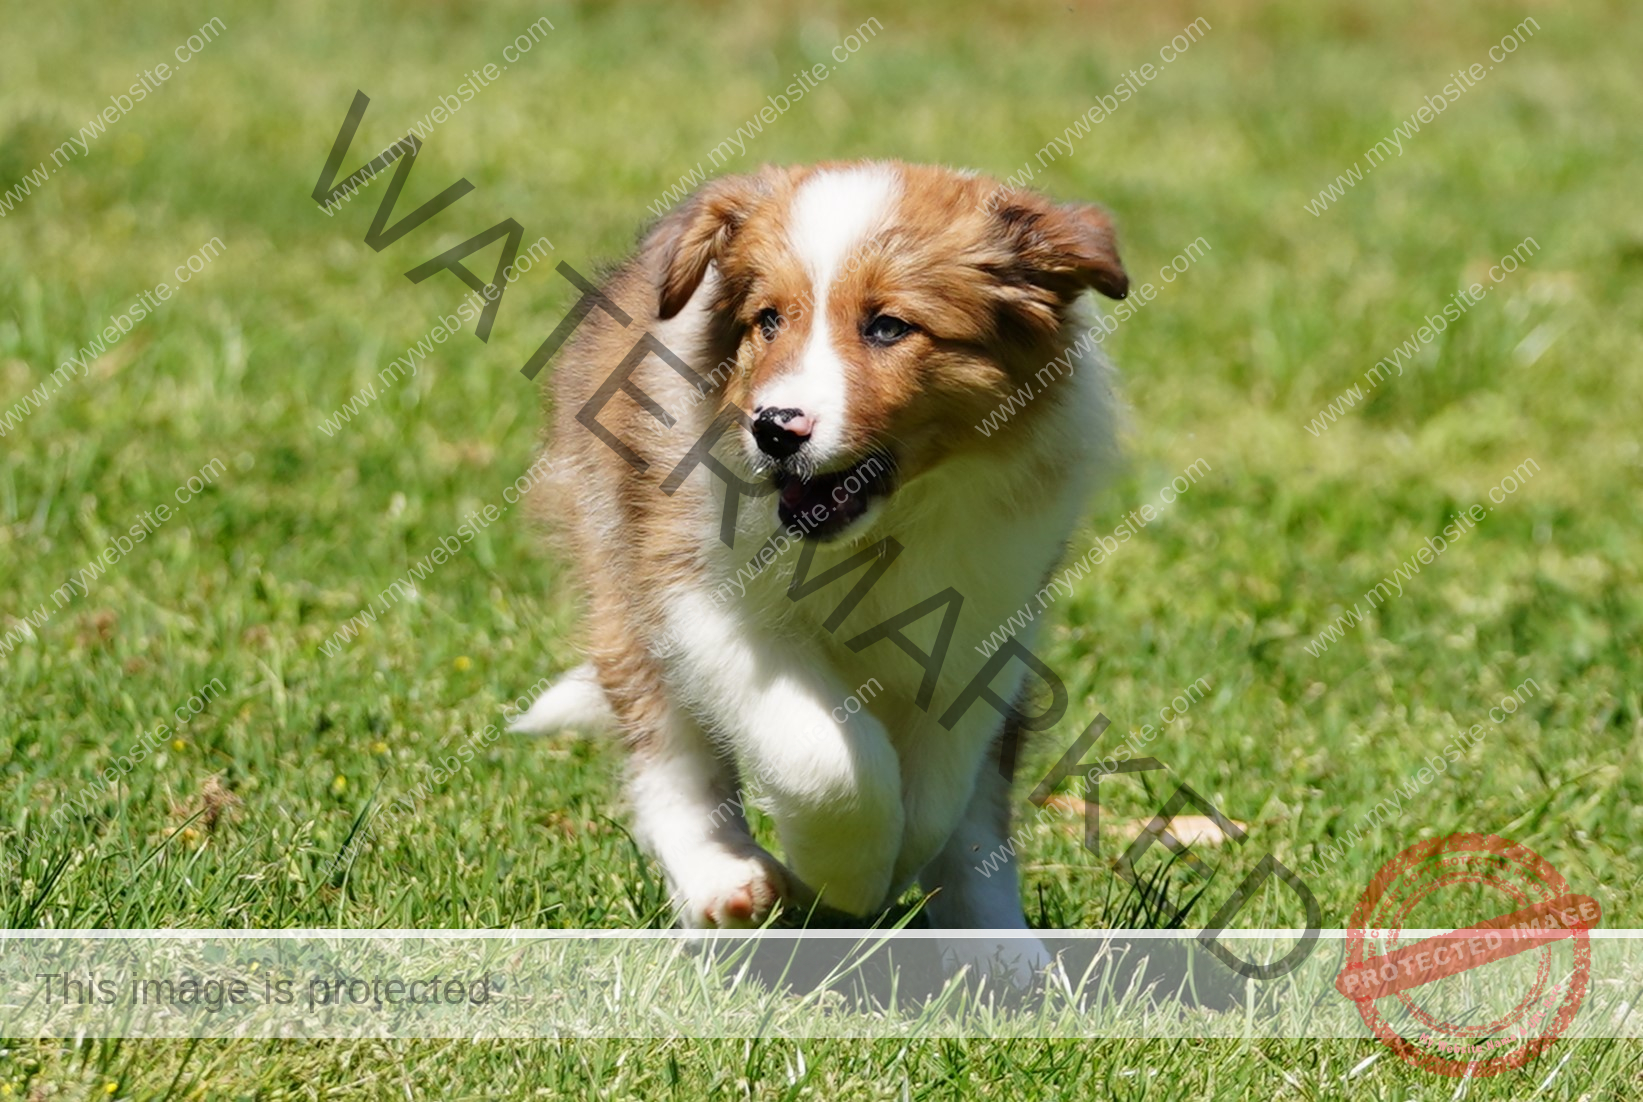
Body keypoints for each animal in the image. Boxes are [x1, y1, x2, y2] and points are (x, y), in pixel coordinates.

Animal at [512, 159, 1130, 972]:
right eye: (769, 320)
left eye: (888, 326)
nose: (774, 430)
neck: (878, 533)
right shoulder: (702, 595)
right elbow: (829, 759)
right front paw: (845, 876)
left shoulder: (984, 618)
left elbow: (938, 796)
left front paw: (890, 868)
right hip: (620, 564)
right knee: (668, 749)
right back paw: (722, 882)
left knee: (978, 814)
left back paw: (1005, 957)